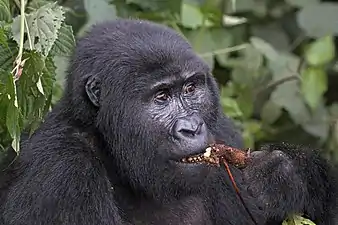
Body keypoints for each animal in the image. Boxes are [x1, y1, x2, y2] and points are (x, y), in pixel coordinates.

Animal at [0, 18, 338, 225]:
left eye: (190, 89)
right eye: (161, 97)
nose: (192, 128)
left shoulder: (222, 130)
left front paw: (287, 175)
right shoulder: (62, 171)